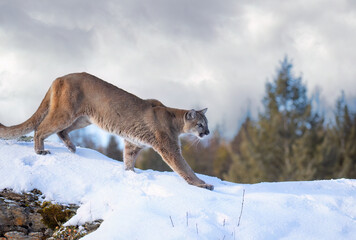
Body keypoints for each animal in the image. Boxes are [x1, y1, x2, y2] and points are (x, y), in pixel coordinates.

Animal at [0, 72, 213, 190]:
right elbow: (184, 168)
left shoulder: (133, 143)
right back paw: (40, 150)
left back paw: (71, 147)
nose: (208, 133)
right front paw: (202, 184)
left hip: (84, 118)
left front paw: (130, 173)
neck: (174, 120)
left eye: (206, 123)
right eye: (200, 124)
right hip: (66, 112)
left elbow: (128, 160)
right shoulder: (169, 148)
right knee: (40, 128)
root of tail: (59, 77)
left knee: (61, 131)